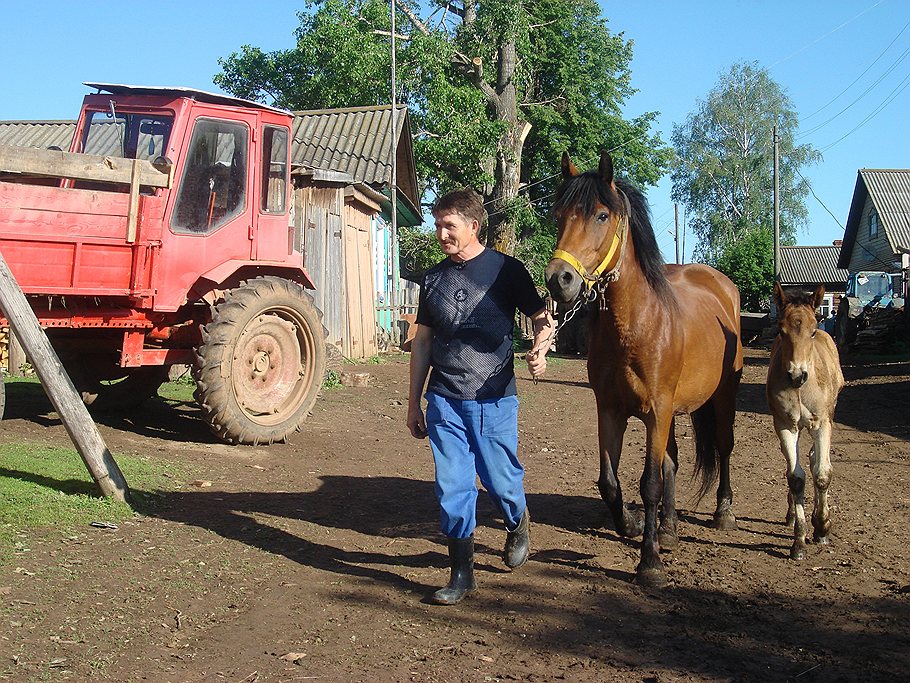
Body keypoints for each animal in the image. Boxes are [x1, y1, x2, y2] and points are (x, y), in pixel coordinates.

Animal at [544, 151, 744, 588]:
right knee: (672, 460)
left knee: (723, 448)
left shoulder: (656, 411)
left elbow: (649, 483)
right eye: (558, 215)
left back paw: (723, 513)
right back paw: (667, 528)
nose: (558, 280)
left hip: (721, 397)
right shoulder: (610, 411)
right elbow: (609, 482)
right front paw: (634, 525)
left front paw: (649, 562)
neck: (635, 322)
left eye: (602, 215)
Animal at [768, 284, 848, 560]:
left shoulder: (822, 424)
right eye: (781, 331)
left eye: (812, 331)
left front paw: (822, 528)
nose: (796, 374)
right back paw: (792, 514)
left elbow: (822, 474)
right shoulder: (784, 425)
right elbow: (795, 477)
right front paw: (799, 542)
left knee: (815, 460)